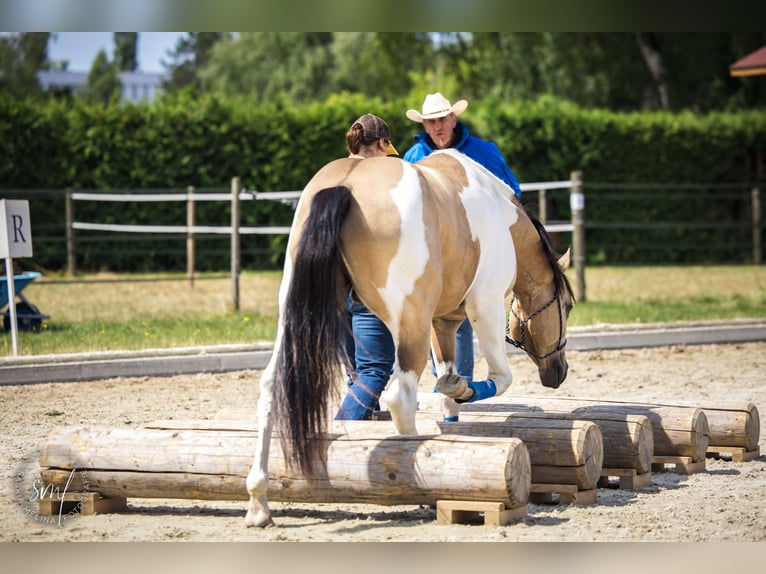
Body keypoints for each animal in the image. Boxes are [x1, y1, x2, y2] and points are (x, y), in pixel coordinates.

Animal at [245, 148, 574, 527]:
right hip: (409, 325)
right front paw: (464, 394)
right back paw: (420, 488)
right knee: (400, 398)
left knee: (272, 384)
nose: (558, 371)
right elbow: (500, 379)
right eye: (568, 306)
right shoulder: (484, 307)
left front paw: (455, 395)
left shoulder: (443, 323)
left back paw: (259, 501)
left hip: (296, 313)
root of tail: (345, 184)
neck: (502, 214)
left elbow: (448, 392)